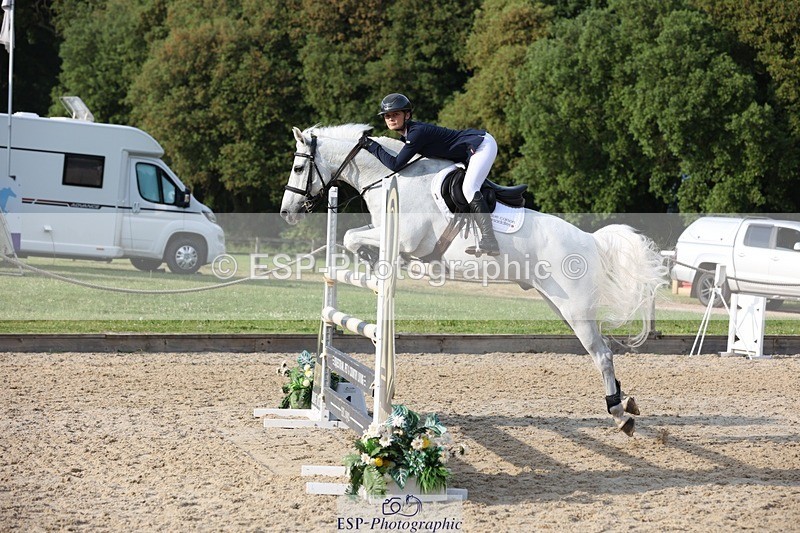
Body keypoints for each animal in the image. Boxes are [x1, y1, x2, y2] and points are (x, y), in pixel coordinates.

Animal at [280, 123, 668, 435]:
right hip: (559, 304)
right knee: (600, 351)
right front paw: (373, 263)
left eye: (299, 167)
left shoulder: (404, 239)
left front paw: (378, 263)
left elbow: (353, 238)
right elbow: (352, 238)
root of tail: (590, 240)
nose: (286, 212)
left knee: (601, 354)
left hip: (576, 310)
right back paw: (626, 402)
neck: (394, 177)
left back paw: (619, 412)